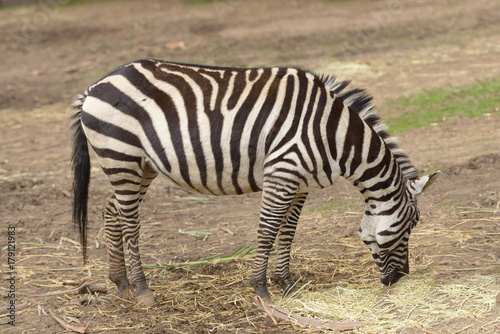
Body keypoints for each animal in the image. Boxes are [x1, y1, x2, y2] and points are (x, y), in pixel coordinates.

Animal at [69, 58, 438, 306]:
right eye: (411, 226)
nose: (400, 278)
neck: (337, 136)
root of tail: (95, 85)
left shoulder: (300, 185)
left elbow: (288, 232)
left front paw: (286, 283)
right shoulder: (283, 173)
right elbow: (268, 230)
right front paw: (261, 288)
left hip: (138, 165)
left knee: (112, 212)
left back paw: (121, 283)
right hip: (121, 156)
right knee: (130, 222)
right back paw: (143, 290)